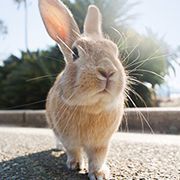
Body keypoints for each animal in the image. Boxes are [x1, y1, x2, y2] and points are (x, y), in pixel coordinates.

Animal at [38, 0, 126, 179]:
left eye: (115, 50)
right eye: (75, 52)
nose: (108, 71)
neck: (92, 107)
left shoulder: (101, 144)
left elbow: (98, 158)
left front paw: (99, 174)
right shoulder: (69, 139)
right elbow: (73, 151)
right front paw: (75, 165)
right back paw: (58, 148)